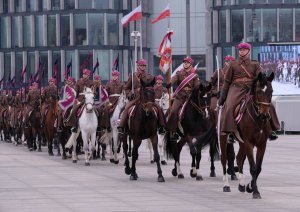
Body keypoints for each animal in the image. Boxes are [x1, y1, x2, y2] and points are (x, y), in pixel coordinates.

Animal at [219, 71, 276, 199]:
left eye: (271, 91)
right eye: (258, 91)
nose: (265, 115)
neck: (257, 118)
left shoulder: (262, 144)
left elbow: (258, 168)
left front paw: (250, 186)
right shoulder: (249, 143)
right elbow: (253, 168)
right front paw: (255, 191)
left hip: (242, 142)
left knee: (239, 158)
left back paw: (241, 184)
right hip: (223, 137)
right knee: (224, 159)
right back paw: (226, 185)